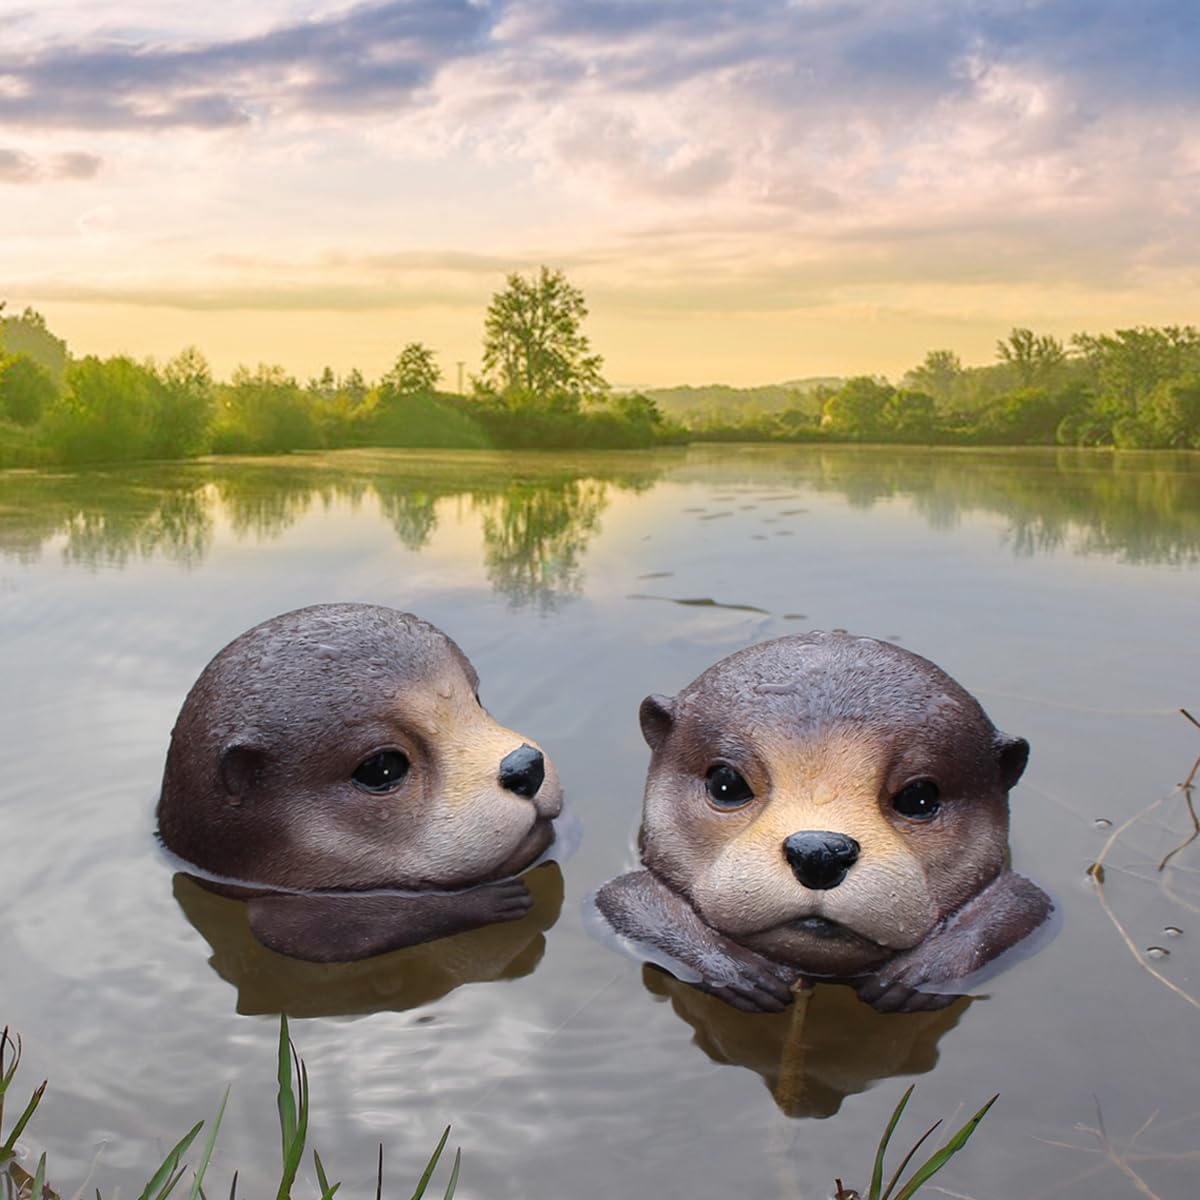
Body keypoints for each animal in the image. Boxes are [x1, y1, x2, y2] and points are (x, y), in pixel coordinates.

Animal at [595, 633, 1051, 1013]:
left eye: (920, 797)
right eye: (725, 783)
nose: (820, 851)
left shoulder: (1030, 903)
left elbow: (1025, 902)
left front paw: (924, 970)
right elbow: (621, 897)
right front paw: (738, 970)